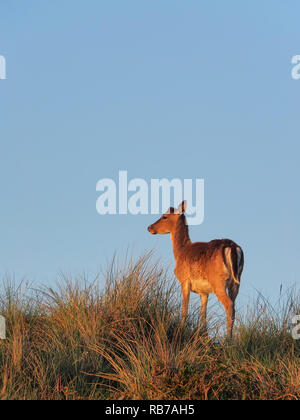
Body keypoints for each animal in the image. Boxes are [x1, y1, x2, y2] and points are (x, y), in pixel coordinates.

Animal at [148, 200, 244, 338]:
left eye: (164, 216)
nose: (149, 227)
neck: (180, 253)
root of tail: (232, 246)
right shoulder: (203, 292)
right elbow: (203, 313)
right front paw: (204, 335)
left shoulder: (184, 280)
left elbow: (184, 308)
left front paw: (181, 330)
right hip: (236, 282)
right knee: (234, 305)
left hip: (218, 282)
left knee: (229, 305)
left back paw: (228, 338)